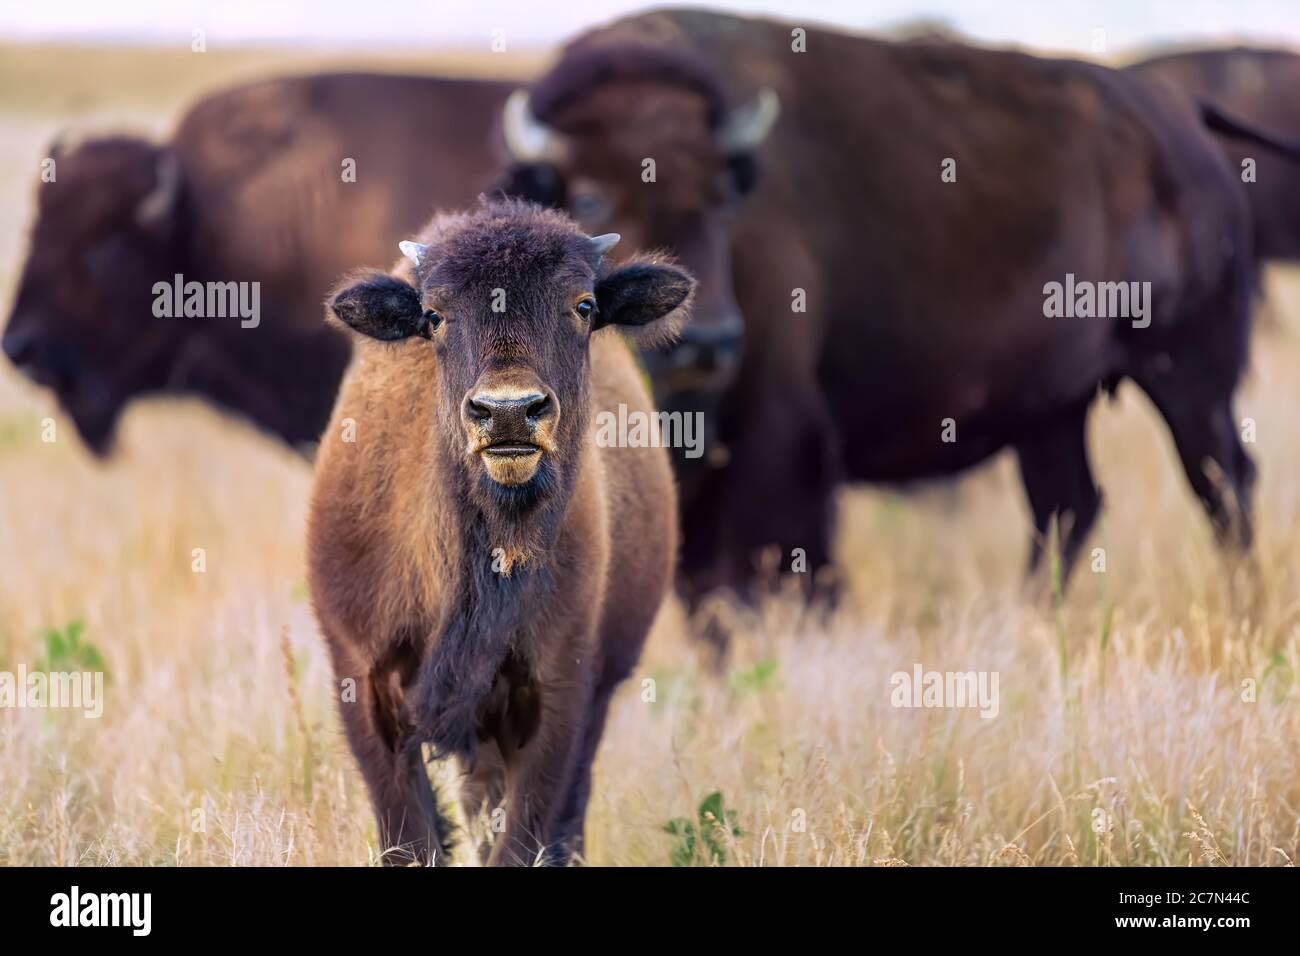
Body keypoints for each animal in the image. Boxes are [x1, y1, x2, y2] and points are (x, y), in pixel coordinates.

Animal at [308, 199, 688, 865]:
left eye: (583, 306)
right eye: (434, 315)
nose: (508, 412)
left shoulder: (559, 692)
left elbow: (526, 829)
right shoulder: (365, 681)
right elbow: (410, 835)